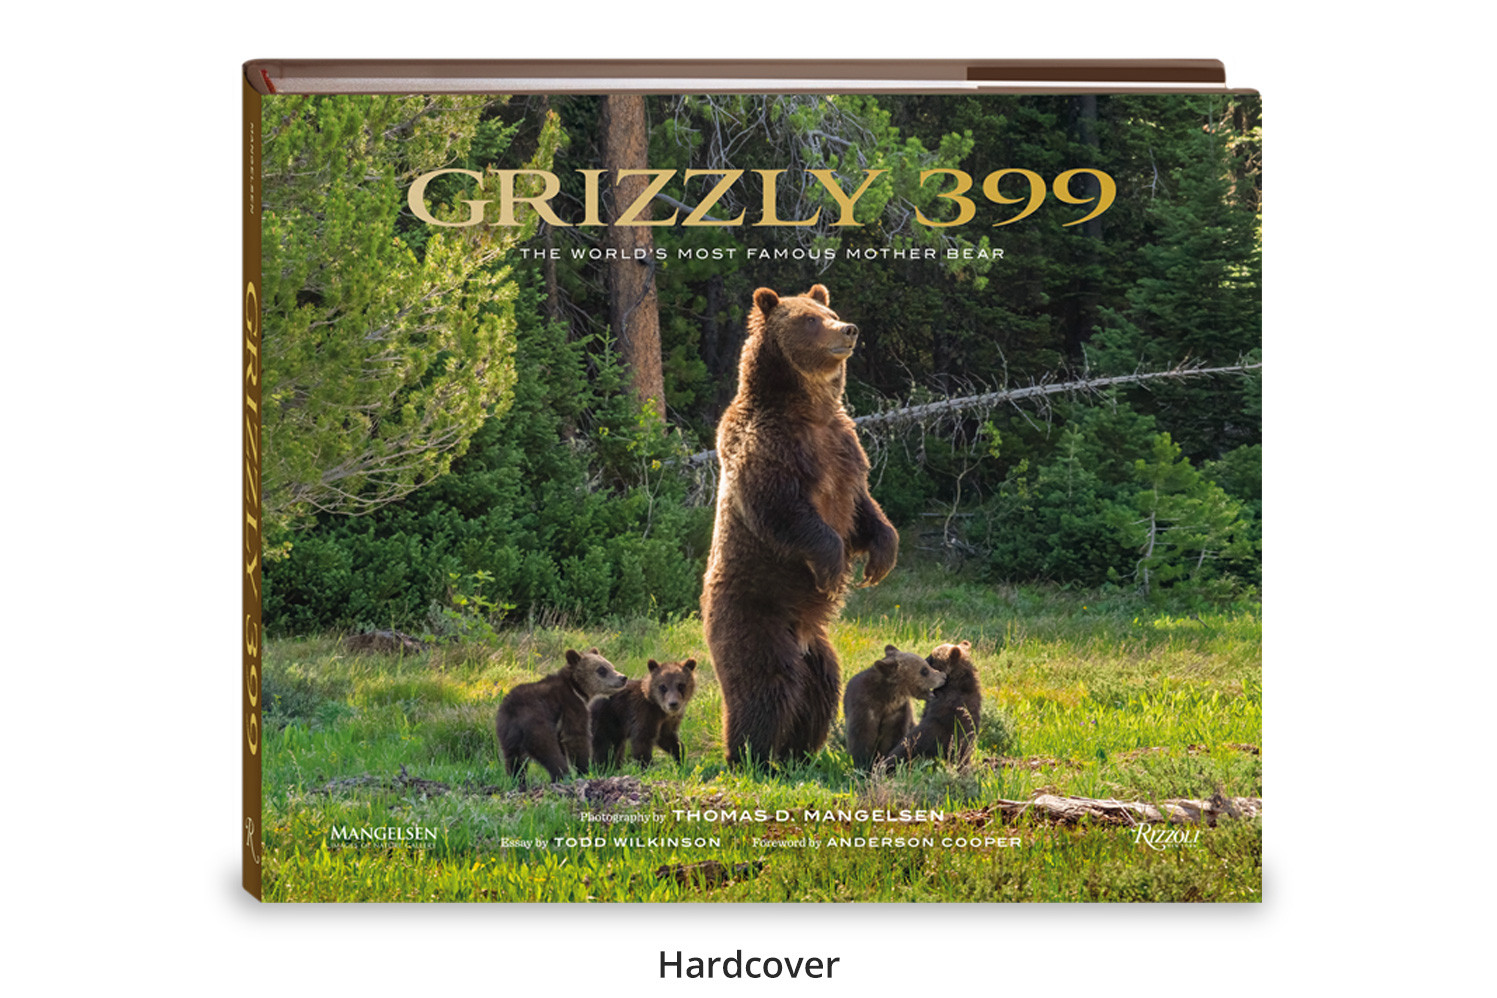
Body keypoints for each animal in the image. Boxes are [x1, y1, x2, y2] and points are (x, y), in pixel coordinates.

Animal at [495, 647, 627, 784]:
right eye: (601, 670)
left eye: (611, 665)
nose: (623, 678)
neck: (576, 688)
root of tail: (513, 711)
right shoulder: (570, 706)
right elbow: (576, 737)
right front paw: (585, 769)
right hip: (536, 723)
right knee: (549, 751)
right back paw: (563, 775)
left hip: (506, 732)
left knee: (513, 759)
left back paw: (518, 780)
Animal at [701, 284, 898, 765]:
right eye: (809, 320)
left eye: (830, 310)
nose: (848, 329)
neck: (809, 409)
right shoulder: (769, 447)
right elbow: (784, 511)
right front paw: (832, 567)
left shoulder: (844, 447)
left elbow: (864, 509)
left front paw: (880, 558)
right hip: (754, 614)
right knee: (766, 683)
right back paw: (750, 754)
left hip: (817, 647)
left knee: (820, 686)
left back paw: (799, 752)